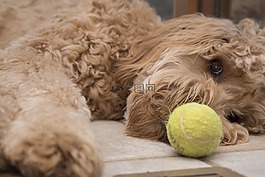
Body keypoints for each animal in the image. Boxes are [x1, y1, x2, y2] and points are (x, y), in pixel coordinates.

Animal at [0, 0, 264, 176]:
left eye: (235, 116)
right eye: (216, 66)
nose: (194, 113)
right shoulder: (36, 54)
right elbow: (55, 95)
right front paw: (59, 142)